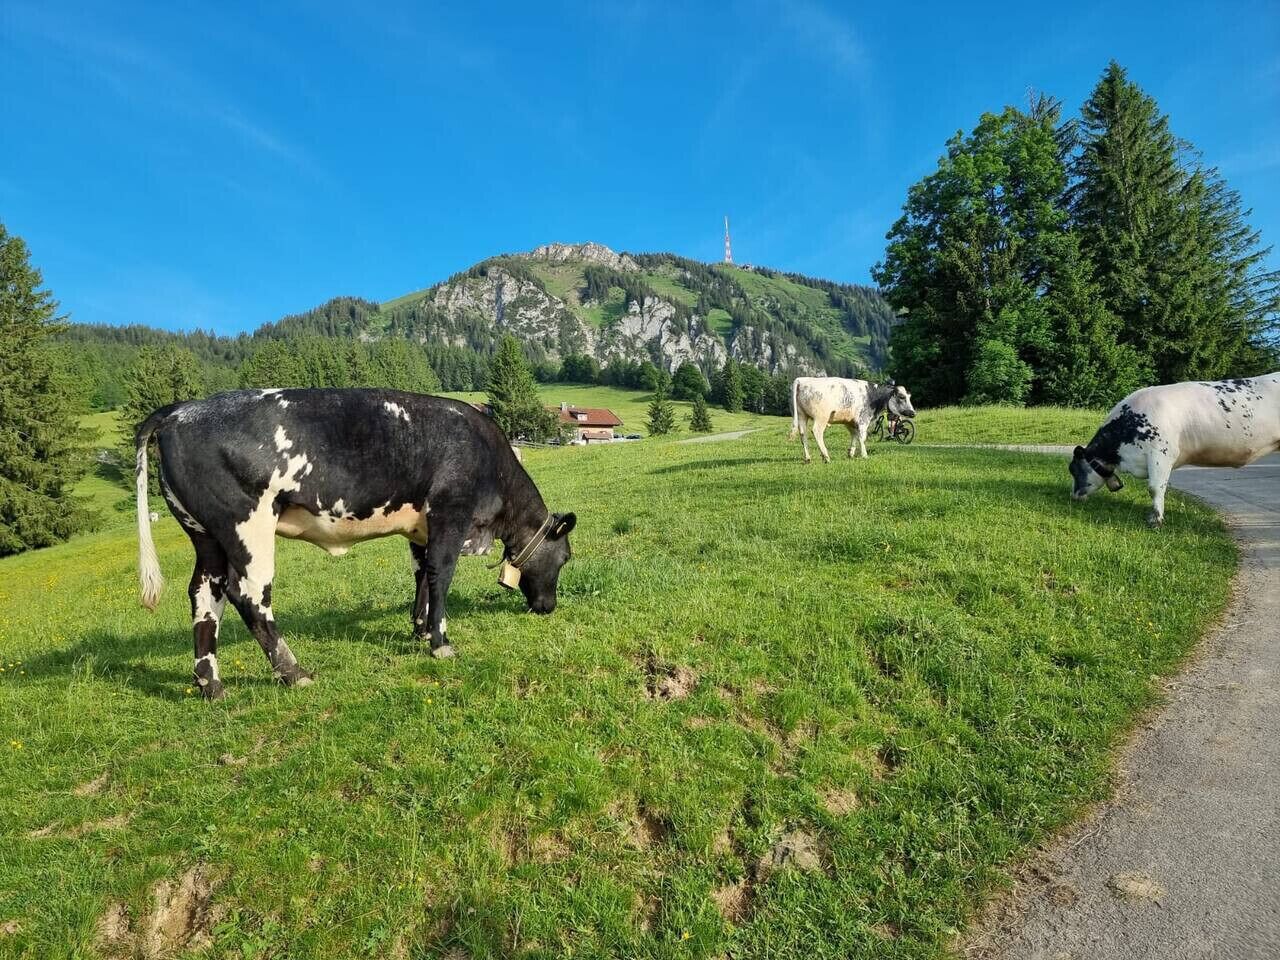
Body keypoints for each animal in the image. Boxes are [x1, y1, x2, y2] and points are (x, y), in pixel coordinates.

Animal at [134, 388, 577, 699]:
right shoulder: (450, 515)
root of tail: (181, 410)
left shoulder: (420, 529)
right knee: (250, 595)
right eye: (565, 558)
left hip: (205, 535)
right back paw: (293, 673)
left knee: (204, 596)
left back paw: (211, 684)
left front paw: (418, 629)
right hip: (247, 525)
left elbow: (420, 575)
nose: (548, 607)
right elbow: (441, 575)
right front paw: (440, 643)